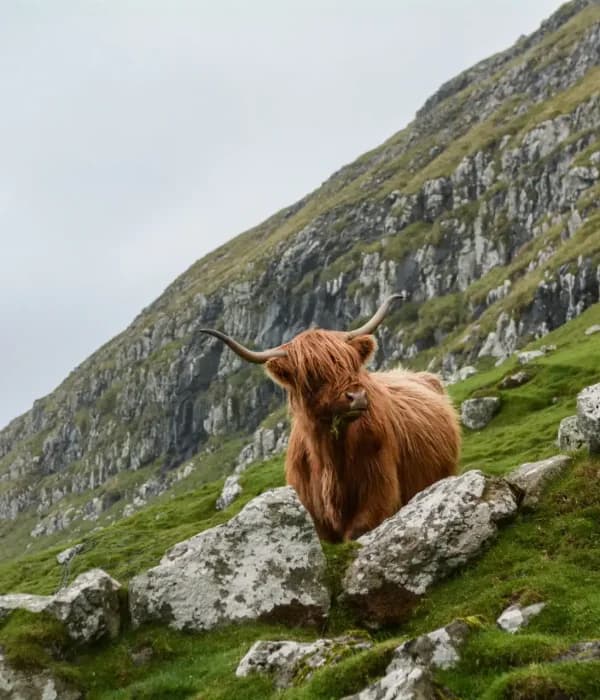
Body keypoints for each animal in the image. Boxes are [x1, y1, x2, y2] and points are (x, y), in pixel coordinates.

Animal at [200, 294, 461, 542]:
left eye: (352, 364)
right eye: (312, 375)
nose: (357, 397)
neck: (331, 460)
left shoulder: (378, 495)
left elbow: (357, 531)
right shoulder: (314, 515)